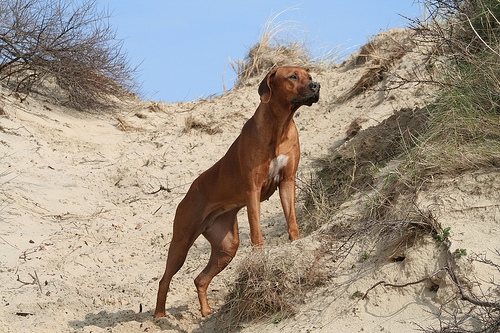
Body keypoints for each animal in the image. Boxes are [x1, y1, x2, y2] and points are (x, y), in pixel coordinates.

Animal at [152, 65, 322, 316]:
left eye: (309, 76)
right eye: (292, 76)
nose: (316, 85)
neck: (279, 126)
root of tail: (191, 190)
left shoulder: (287, 181)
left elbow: (292, 220)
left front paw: (296, 244)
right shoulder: (253, 191)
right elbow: (256, 232)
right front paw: (259, 257)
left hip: (226, 247)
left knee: (200, 279)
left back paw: (206, 312)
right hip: (181, 242)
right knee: (164, 280)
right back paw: (160, 316)